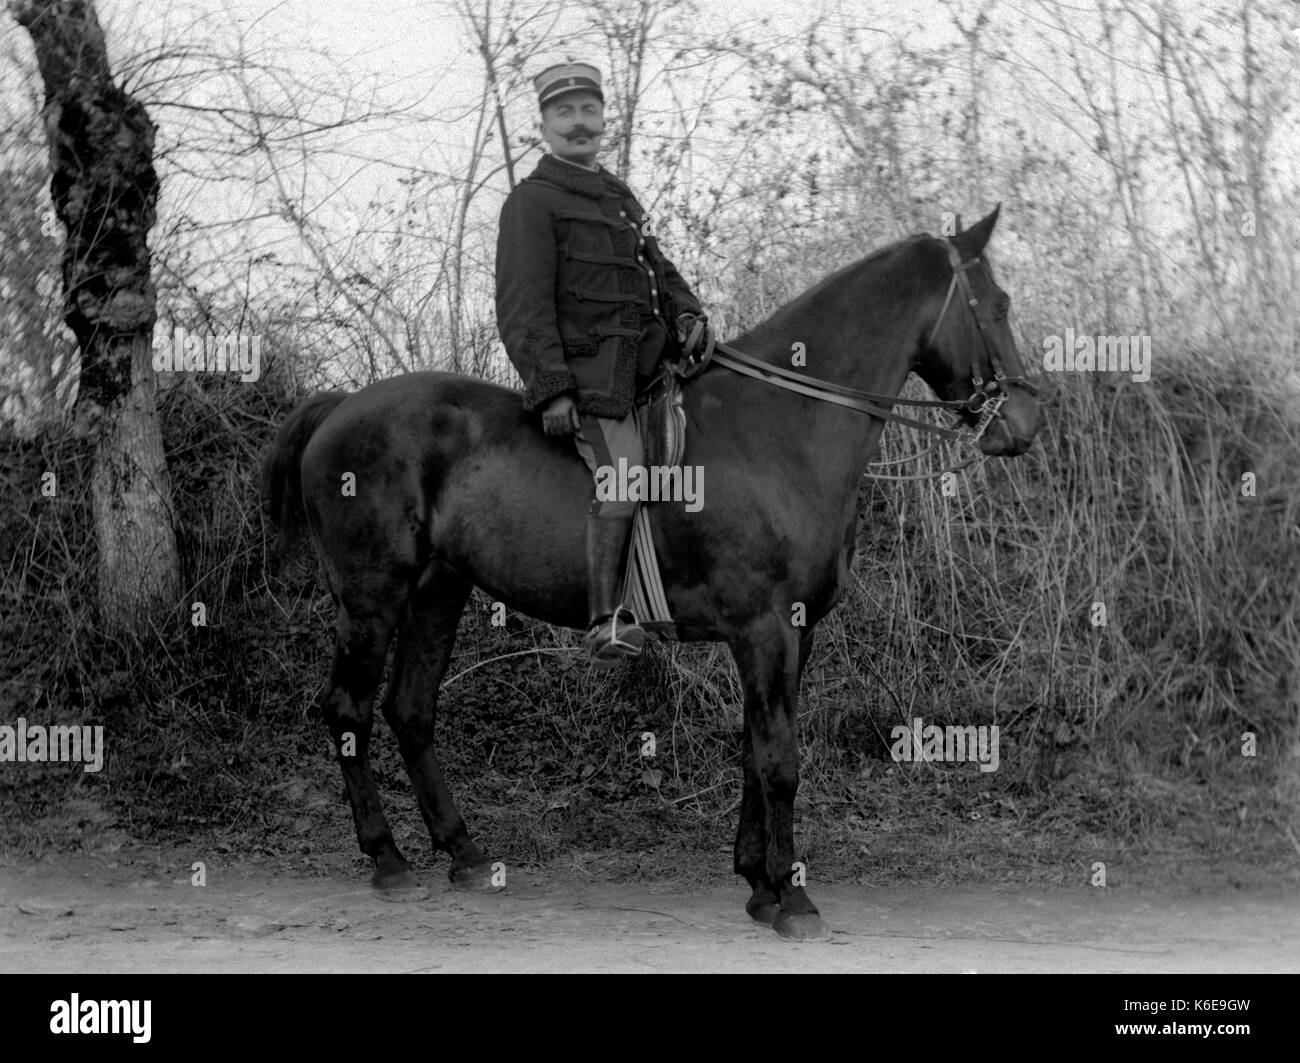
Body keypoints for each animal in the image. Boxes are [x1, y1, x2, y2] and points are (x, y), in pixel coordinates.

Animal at [262, 206, 1040, 941]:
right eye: (998, 305)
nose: (1026, 423)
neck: (784, 425)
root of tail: (341, 407)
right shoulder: (764, 629)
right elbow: (780, 758)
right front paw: (792, 899)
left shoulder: (793, 633)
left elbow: (755, 748)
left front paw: (758, 882)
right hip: (372, 599)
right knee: (350, 711)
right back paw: (387, 857)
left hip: (438, 591)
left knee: (411, 710)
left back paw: (464, 853)